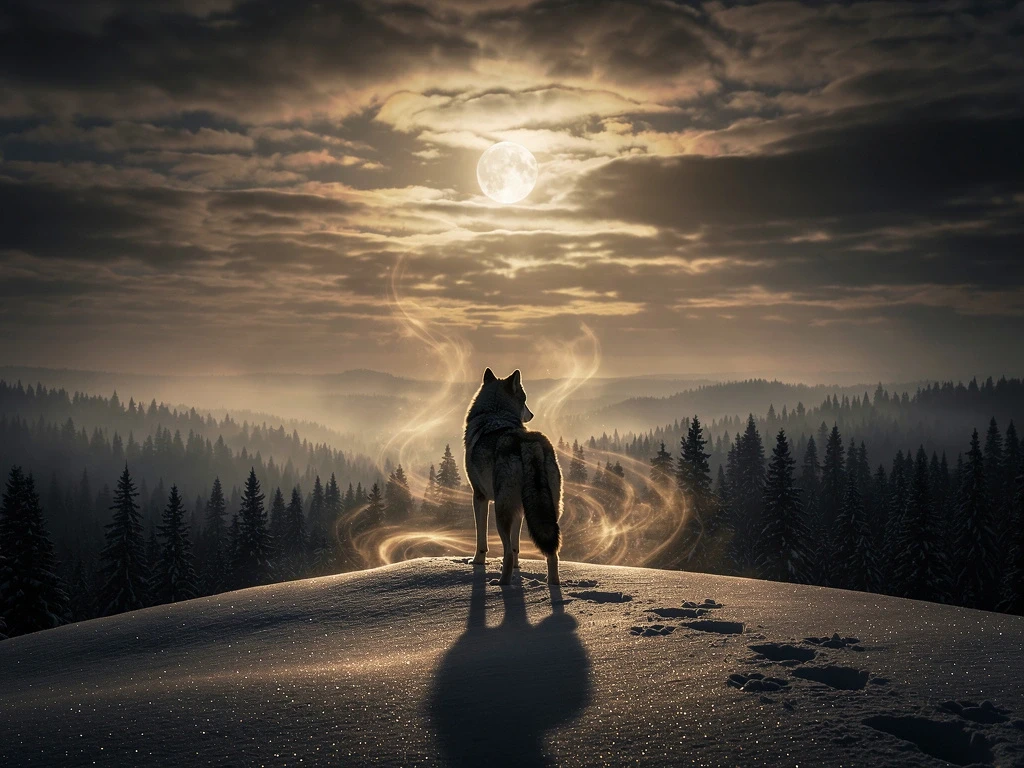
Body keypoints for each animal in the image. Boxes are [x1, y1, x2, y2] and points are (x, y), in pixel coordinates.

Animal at [464, 368, 562, 585]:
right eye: (525, 400)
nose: (532, 414)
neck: (495, 414)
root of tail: (529, 444)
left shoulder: (479, 497)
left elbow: (481, 540)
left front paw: (477, 562)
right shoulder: (519, 511)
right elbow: (517, 546)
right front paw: (519, 568)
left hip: (502, 511)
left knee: (507, 551)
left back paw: (501, 584)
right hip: (549, 512)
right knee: (552, 553)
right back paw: (552, 585)